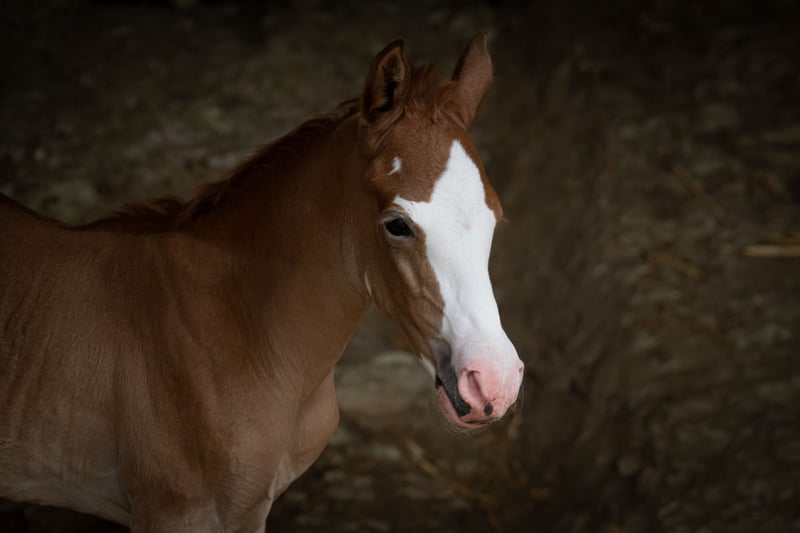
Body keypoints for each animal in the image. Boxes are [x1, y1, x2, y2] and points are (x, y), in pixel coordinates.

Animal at [0, 34, 524, 532]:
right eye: (396, 224)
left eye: (495, 219)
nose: (492, 383)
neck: (240, 329)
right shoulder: (176, 513)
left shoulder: (249, 509)